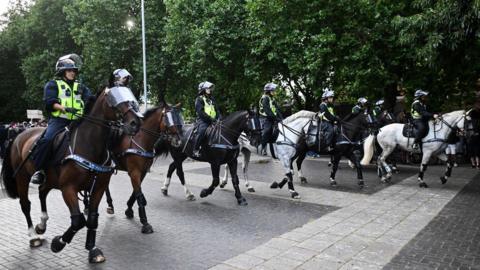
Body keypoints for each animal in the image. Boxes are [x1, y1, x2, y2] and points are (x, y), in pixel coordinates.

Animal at [0, 86, 142, 264]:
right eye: (113, 99)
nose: (136, 123)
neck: (89, 145)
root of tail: (18, 136)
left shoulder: (98, 188)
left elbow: (92, 218)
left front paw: (92, 250)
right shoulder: (68, 188)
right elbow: (78, 220)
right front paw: (58, 243)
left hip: (51, 180)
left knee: (42, 192)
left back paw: (42, 225)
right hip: (22, 178)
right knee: (25, 204)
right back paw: (33, 236)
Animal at [99, 104, 184, 234]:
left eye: (178, 118)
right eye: (168, 118)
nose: (178, 140)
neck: (141, 139)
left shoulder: (142, 172)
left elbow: (135, 192)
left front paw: (129, 209)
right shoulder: (134, 172)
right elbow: (139, 194)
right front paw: (145, 222)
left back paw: (109, 206)